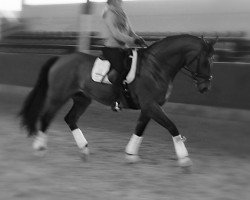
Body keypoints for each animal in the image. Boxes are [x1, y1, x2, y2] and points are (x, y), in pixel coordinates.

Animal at [19, 34, 217, 167]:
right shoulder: (151, 105)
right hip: (58, 96)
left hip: (82, 99)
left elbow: (139, 129)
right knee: (46, 117)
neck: (157, 66)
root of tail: (60, 58)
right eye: (206, 60)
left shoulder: (149, 107)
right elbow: (172, 126)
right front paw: (184, 159)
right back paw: (39, 148)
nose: (206, 87)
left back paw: (84, 150)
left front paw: (130, 155)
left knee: (70, 118)